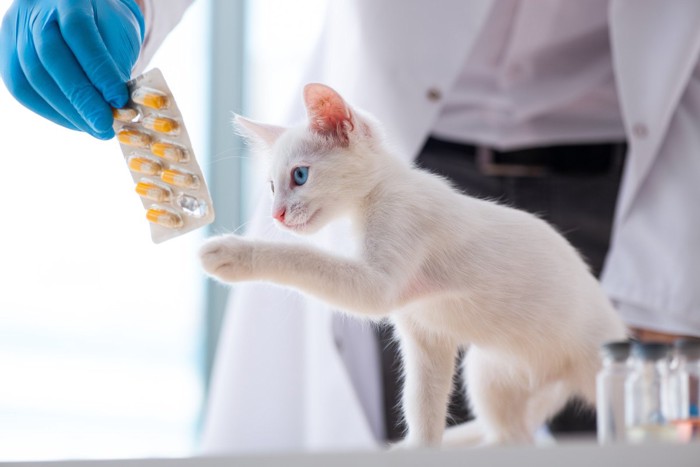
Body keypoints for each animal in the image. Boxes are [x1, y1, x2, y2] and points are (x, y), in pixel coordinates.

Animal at [198, 83, 628, 446]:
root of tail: (556, 378)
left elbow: (307, 259)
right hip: (489, 373)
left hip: (600, 365)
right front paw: (420, 446)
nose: (277, 215)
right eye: (271, 187)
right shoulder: (426, 333)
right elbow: (422, 404)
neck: (377, 195)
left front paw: (234, 253)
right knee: (512, 435)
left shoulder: (383, 271)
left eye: (300, 176)